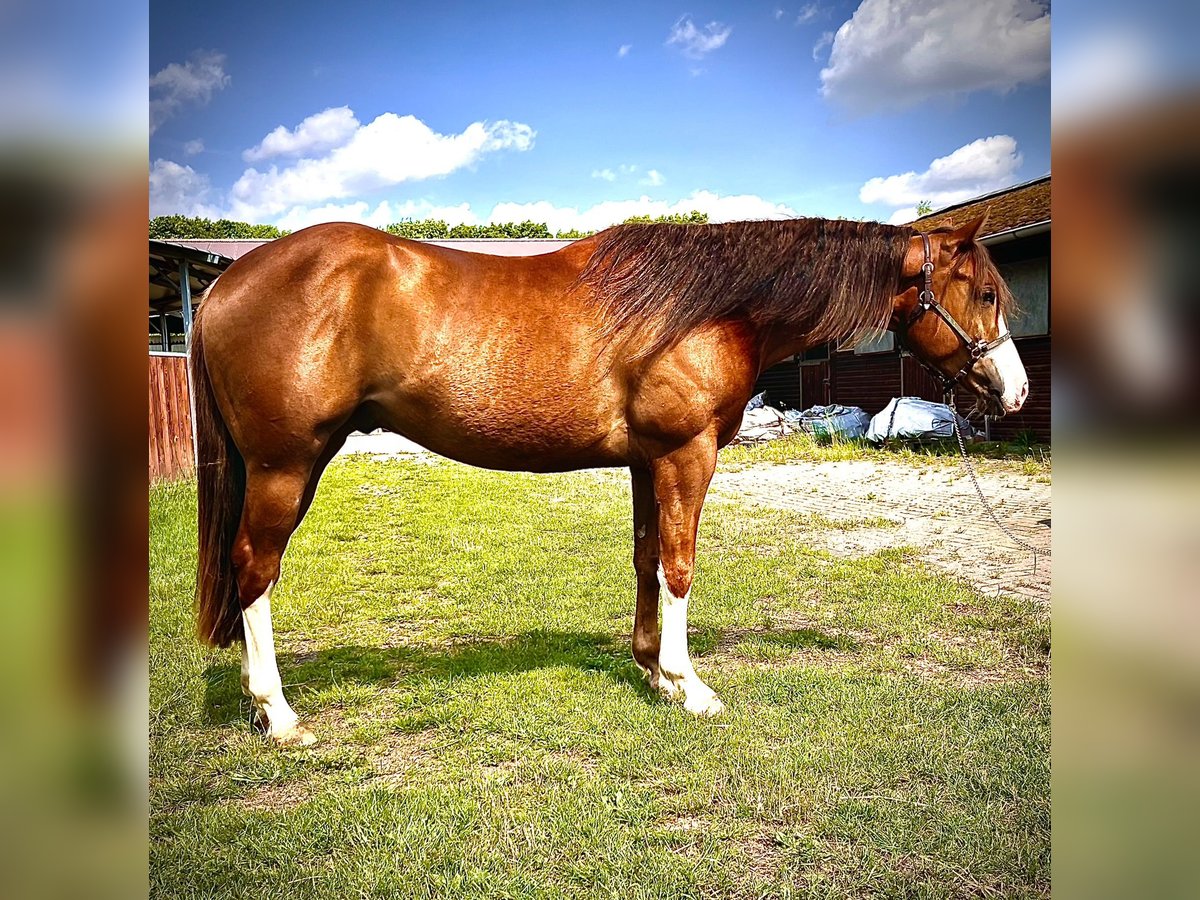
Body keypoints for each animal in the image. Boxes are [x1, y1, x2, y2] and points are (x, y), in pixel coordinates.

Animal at [189, 215, 1028, 746]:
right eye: (985, 294)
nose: (1015, 391)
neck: (709, 308)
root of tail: (224, 286)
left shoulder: (647, 461)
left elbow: (646, 560)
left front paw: (654, 673)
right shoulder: (688, 454)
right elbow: (681, 567)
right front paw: (691, 687)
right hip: (285, 466)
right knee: (254, 570)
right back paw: (278, 713)